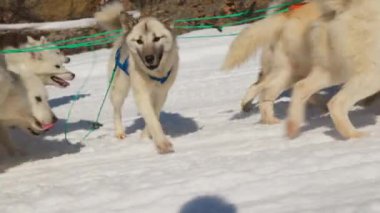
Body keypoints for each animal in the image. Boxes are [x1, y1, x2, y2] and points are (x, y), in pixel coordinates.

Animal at [94, 2, 179, 155]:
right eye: (139, 41)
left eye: (156, 38)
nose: (149, 58)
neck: (154, 75)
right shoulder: (142, 94)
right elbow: (152, 119)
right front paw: (162, 144)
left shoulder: (161, 93)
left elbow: (154, 115)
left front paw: (146, 136)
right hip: (120, 89)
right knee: (117, 110)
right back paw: (120, 132)